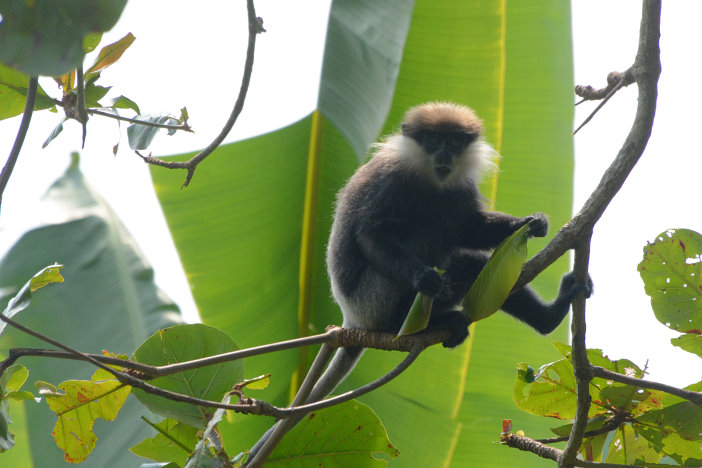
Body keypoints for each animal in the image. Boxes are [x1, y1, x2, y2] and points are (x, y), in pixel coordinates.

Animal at [245, 102, 592, 464]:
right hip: (374, 298)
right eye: (433, 140)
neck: (430, 179)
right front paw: (422, 277)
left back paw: (548, 317)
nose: (443, 154)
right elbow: (371, 234)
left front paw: (532, 223)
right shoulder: (390, 181)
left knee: (469, 255)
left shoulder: (459, 187)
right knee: (426, 238)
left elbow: (470, 227)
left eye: (454, 143)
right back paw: (428, 320)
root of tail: (352, 320)